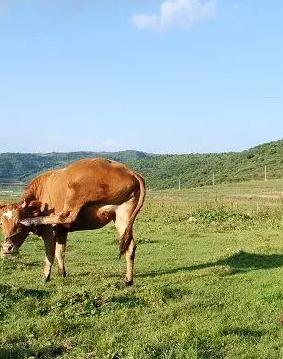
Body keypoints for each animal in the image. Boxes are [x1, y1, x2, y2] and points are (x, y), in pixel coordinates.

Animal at [0, 159, 145, 286]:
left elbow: (50, 253)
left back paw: (31, 221)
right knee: (130, 246)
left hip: (76, 191)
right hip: (121, 215)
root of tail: (130, 171)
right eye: (1, 224)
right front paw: (62, 273)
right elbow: (60, 252)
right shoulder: (61, 231)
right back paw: (128, 279)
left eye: (18, 223)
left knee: (66, 216)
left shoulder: (49, 231)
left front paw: (45, 276)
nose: (7, 248)